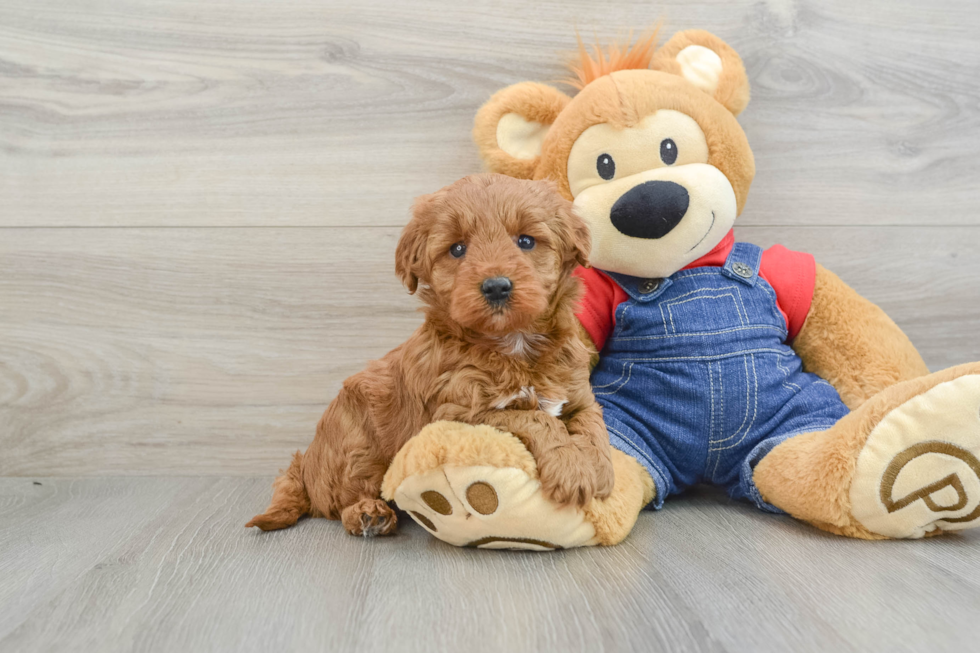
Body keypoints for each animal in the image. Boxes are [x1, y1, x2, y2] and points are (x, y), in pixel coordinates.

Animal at [245, 173, 612, 536]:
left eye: (525, 241)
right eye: (457, 249)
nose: (496, 286)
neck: (514, 344)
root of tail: (305, 465)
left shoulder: (578, 393)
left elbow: (594, 424)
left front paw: (599, 469)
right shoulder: (457, 413)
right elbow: (536, 418)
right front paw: (572, 469)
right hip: (356, 444)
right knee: (341, 504)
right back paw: (369, 514)